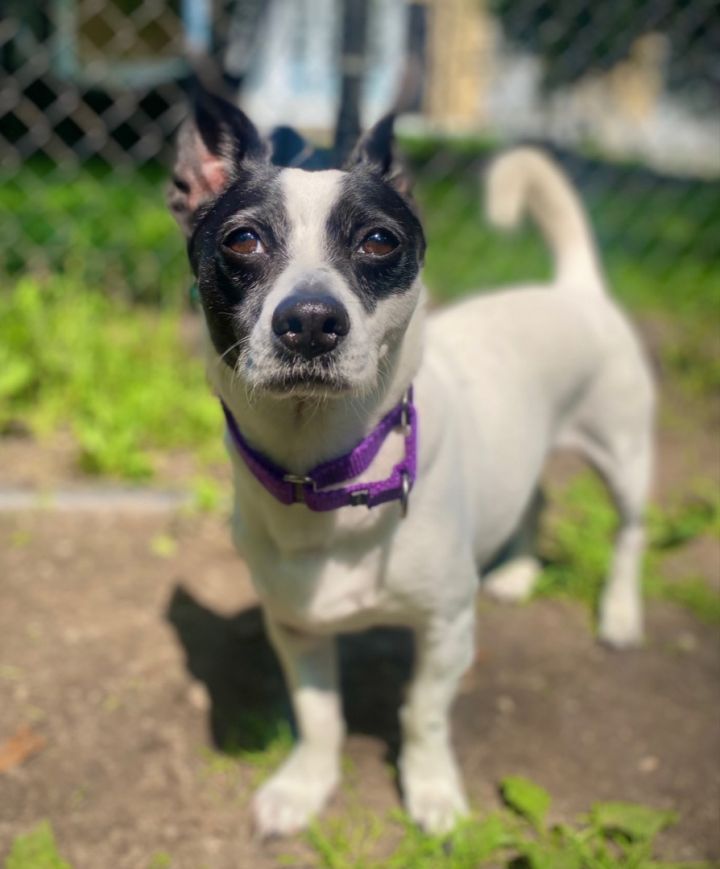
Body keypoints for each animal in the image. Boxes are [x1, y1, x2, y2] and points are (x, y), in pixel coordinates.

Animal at [167, 88, 652, 836]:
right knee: (535, 497)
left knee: (629, 532)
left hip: (625, 456)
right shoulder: (296, 629)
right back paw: (518, 574)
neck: (330, 475)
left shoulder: (446, 627)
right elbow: (319, 718)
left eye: (379, 241)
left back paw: (621, 614)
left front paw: (432, 792)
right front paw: (305, 786)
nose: (311, 320)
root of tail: (575, 289)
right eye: (241, 240)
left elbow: (422, 713)